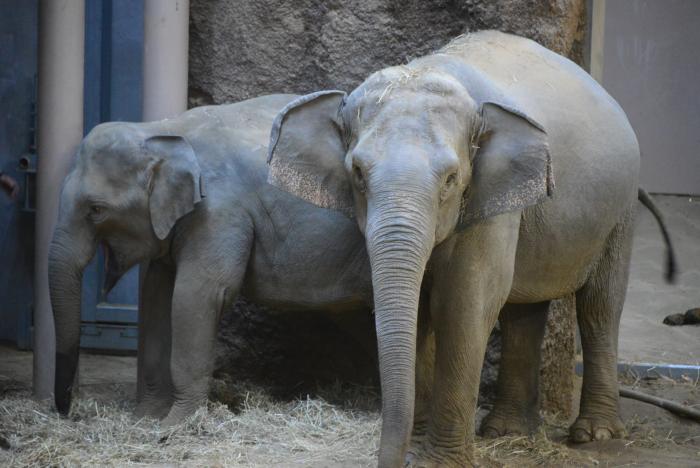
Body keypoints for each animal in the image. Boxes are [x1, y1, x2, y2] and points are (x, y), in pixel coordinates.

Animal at [47, 94, 378, 424]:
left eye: (96, 210)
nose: (66, 411)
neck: (160, 131)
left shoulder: (218, 211)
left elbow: (198, 294)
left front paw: (176, 423)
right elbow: (157, 296)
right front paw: (145, 418)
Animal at [266, 31, 680, 466]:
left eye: (451, 178)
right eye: (358, 173)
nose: (393, 458)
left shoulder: (488, 200)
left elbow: (464, 303)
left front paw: (438, 461)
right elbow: (421, 309)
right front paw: (418, 452)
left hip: (621, 207)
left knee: (600, 304)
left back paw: (594, 434)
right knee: (524, 311)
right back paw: (508, 431)